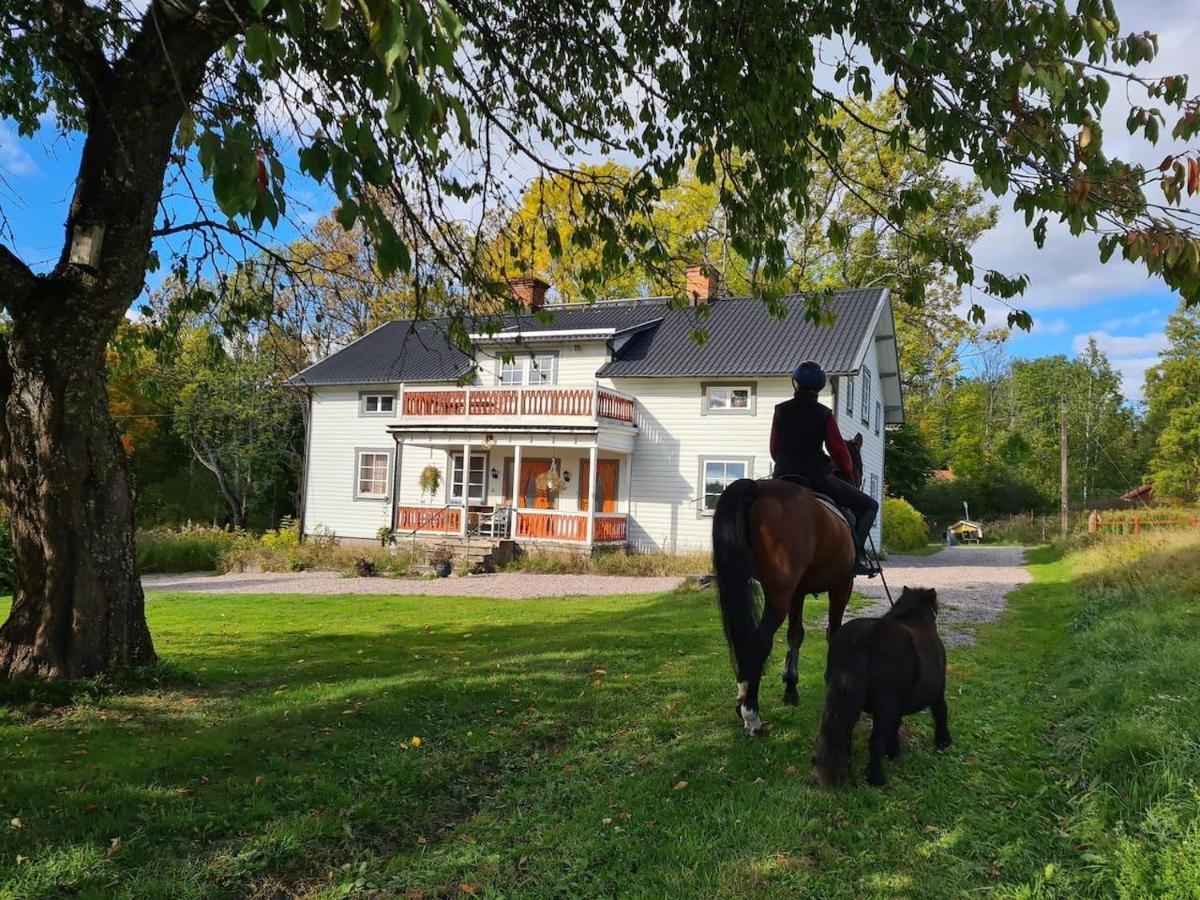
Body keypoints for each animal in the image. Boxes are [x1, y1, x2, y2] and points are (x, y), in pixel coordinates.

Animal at [710, 436, 864, 739]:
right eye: (859, 464)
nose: (859, 480)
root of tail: (757, 488)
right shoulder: (843, 585)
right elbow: (833, 631)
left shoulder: (798, 592)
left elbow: (796, 635)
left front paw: (791, 687)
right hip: (779, 595)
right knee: (759, 640)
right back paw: (752, 714)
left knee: (745, 638)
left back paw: (743, 695)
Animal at [811, 585, 950, 787]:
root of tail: (863, 636)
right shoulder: (937, 691)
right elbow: (941, 712)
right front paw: (943, 741)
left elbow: (896, 725)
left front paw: (893, 751)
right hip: (886, 704)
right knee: (875, 741)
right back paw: (876, 779)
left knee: (843, 736)